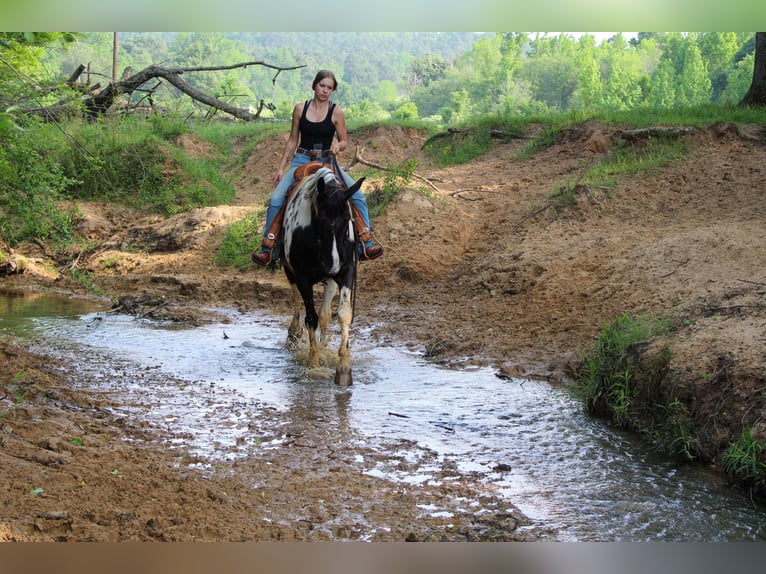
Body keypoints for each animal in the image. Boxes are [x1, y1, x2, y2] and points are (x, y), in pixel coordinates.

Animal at [282, 166, 366, 388]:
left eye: (347, 220)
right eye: (321, 220)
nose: (332, 265)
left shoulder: (346, 272)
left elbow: (343, 314)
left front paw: (343, 369)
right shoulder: (302, 277)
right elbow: (310, 318)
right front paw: (313, 363)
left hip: (330, 281)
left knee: (325, 315)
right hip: (290, 272)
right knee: (297, 300)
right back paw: (293, 333)